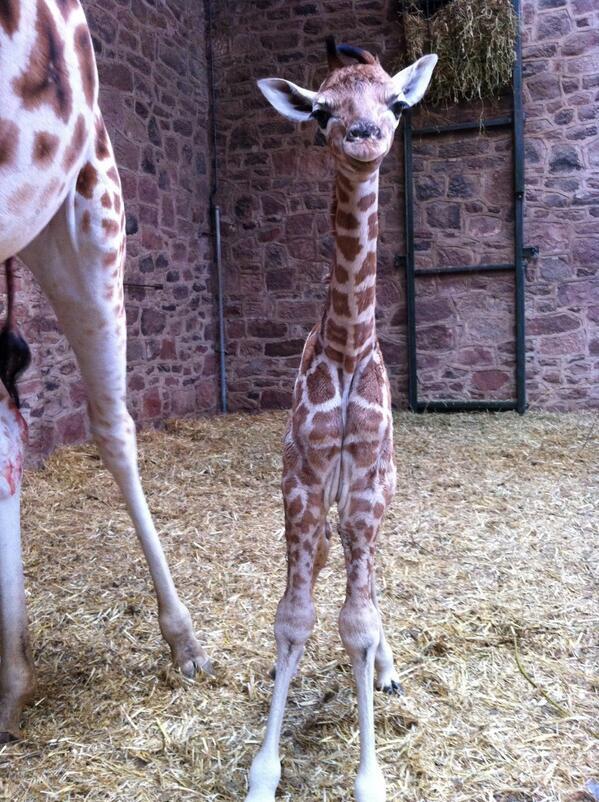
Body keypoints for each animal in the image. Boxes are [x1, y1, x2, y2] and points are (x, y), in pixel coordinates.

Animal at [245, 39, 437, 802]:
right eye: (323, 109)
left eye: (396, 103)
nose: (362, 136)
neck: (347, 347)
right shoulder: (301, 483)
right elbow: (293, 616)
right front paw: (263, 772)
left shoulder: (363, 488)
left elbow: (355, 622)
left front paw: (369, 777)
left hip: (377, 495)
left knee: (372, 588)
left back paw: (388, 672)